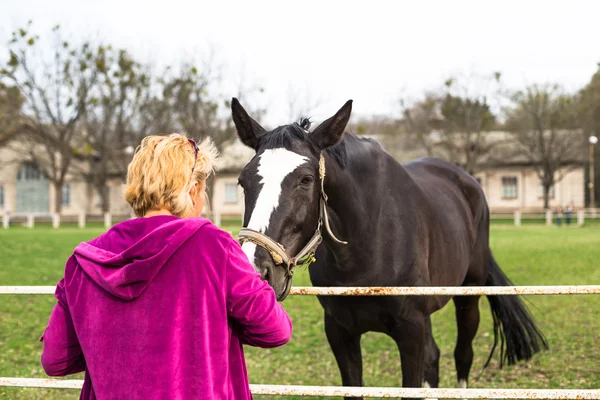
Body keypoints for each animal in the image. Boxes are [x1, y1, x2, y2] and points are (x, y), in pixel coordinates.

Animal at [231, 98, 548, 398]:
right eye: (242, 181)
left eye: (306, 179)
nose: (256, 272)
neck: (367, 245)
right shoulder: (340, 332)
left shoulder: (411, 330)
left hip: (468, 297)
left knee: (462, 356)